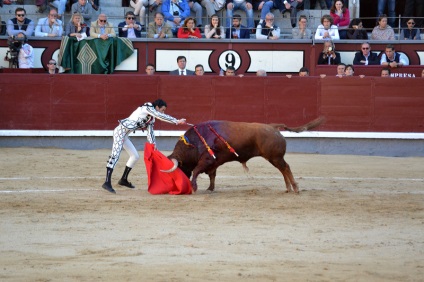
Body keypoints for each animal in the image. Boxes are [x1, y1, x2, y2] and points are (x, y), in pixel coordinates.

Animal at [163, 117, 324, 194]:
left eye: (178, 169)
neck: (193, 143)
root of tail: (273, 127)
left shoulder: (207, 159)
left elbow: (197, 170)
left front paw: (194, 187)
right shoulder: (213, 162)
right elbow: (212, 175)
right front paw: (210, 188)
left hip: (275, 157)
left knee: (286, 168)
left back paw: (295, 189)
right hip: (274, 158)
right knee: (283, 169)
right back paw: (288, 188)